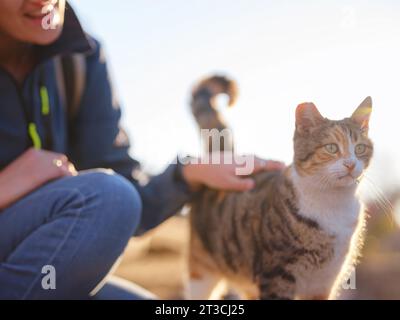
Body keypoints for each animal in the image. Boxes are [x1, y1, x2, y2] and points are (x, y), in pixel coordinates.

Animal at [186, 75, 374, 300]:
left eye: (360, 148)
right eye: (331, 148)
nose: (351, 164)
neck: (333, 203)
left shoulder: (325, 281)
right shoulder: (277, 275)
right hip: (202, 272)